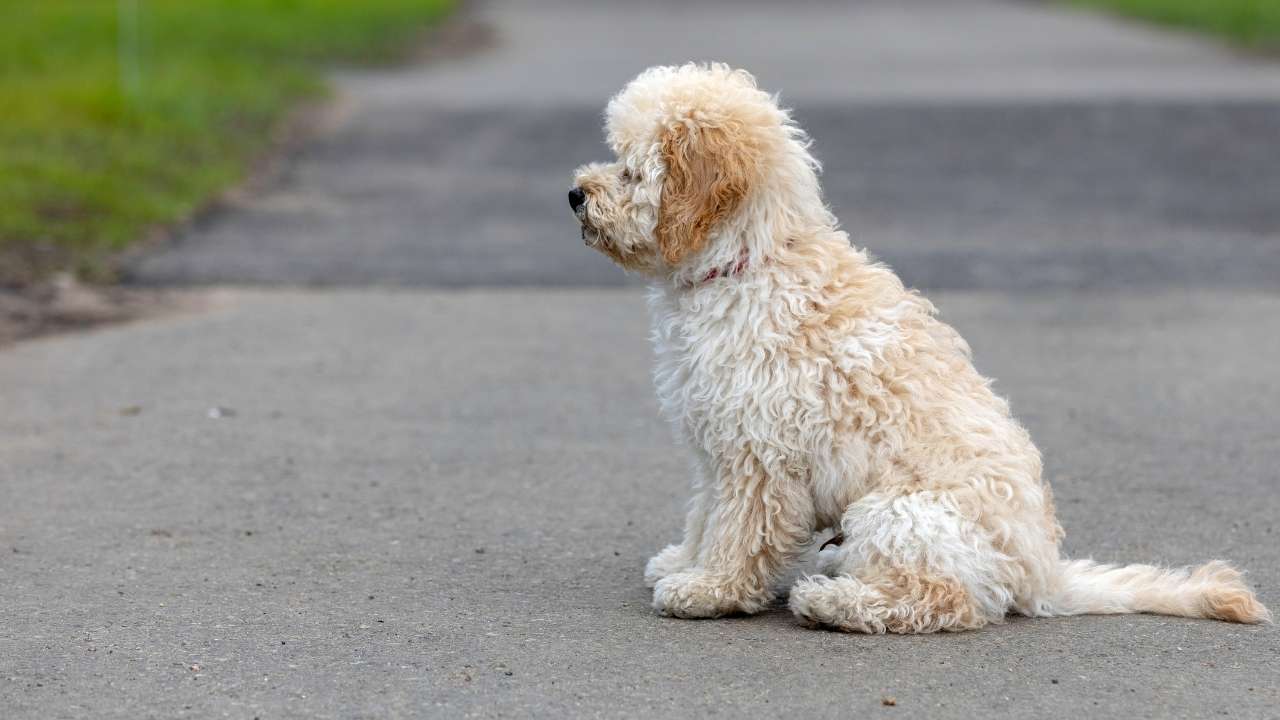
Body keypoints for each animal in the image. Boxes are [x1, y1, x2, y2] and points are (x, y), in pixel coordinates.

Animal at [570, 64, 1269, 630]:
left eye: (631, 169)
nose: (575, 193)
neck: (750, 261)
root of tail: (1044, 573)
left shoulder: (759, 454)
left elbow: (742, 531)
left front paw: (710, 590)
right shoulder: (716, 446)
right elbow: (705, 514)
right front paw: (682, 562)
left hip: (896, 513)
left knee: (947, 602)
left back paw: (835, 602)